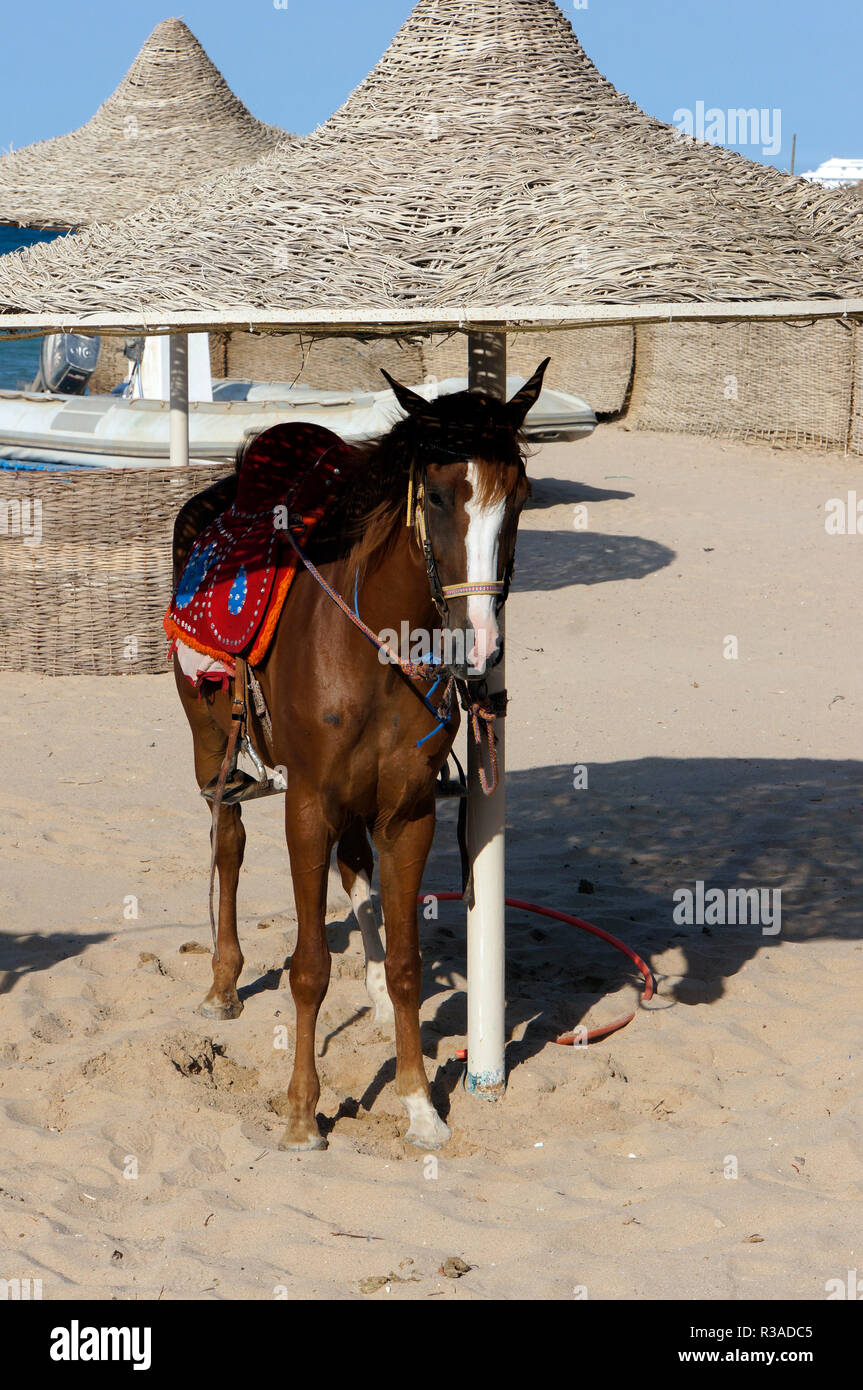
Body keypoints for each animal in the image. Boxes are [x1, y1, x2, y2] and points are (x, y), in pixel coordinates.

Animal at [172, 361, 547, 1150]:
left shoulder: (407, 813)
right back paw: (223, 983)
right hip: (210, 741)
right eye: (435, 494)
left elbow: (406, 963)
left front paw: (418, 1104)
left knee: (354, 870)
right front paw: (300, 1112)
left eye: (521, 497)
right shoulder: (307, 807)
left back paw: (369, 994)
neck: (371, 648)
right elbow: (309, 967)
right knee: (228, 839)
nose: (478, 646)